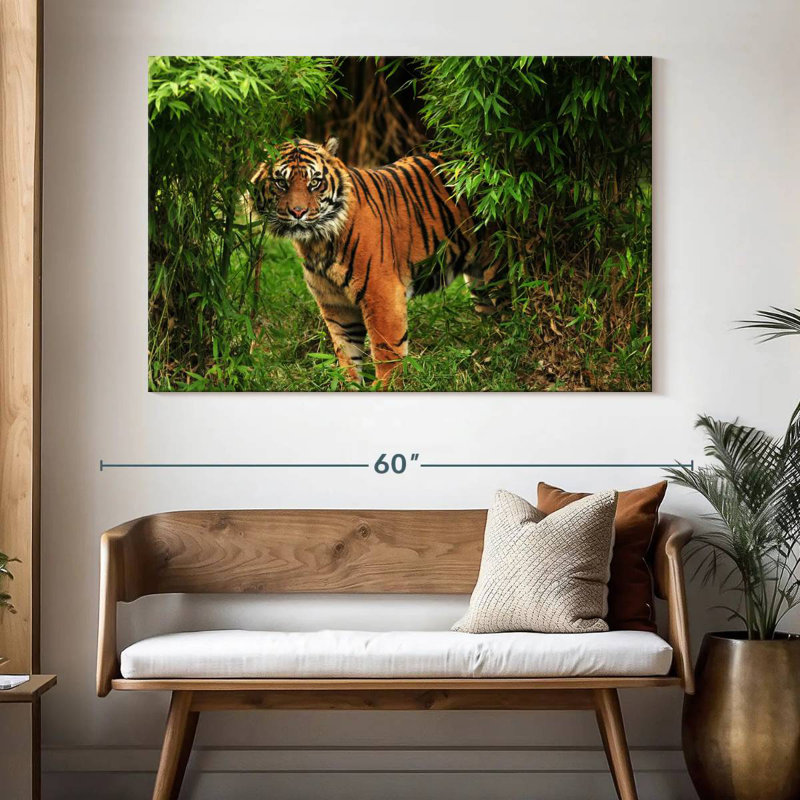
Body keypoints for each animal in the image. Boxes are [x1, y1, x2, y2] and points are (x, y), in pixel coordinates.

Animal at [251, 137, 501, 387]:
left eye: (314, 182)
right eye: (281, 183)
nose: (298, 212)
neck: (316, 242)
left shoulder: (382, 294)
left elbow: (387, 350)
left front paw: (385, 386)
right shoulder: (335, 303)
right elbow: (346, 352)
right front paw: (349, 385)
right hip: (479, 282)